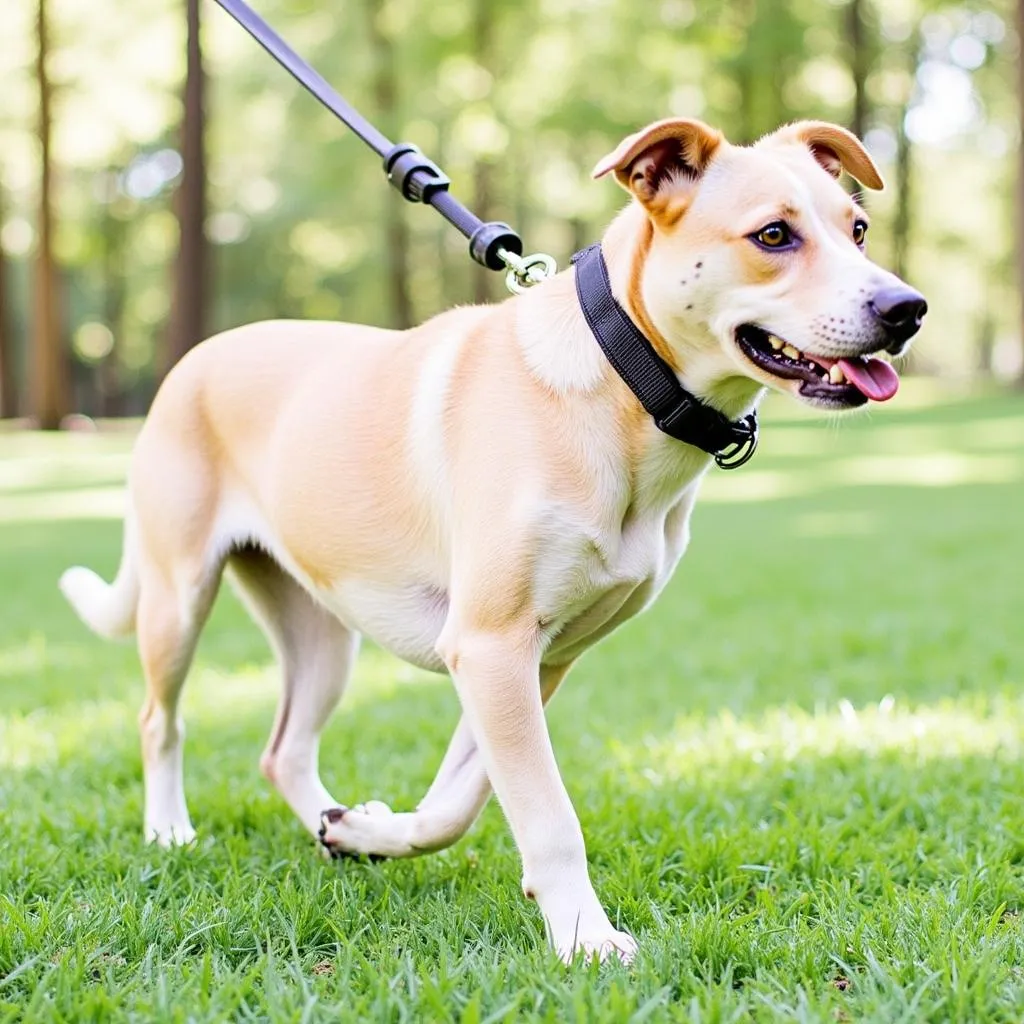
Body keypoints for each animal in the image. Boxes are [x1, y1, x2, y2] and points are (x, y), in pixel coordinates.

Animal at [61, 117, 929, 958]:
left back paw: (331, 827)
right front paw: (585, 938)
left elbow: (460, 799)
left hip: (324, 632)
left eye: (857, 228)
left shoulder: (534, 659)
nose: (906, 309)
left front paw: (378, 833)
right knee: (159, 720)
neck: (622, 383)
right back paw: (169, 830)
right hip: (178, 598)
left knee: (285, 749)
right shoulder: (489, 644)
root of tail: (194, 360)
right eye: (774, 235)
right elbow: (546, 814)